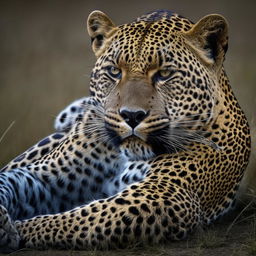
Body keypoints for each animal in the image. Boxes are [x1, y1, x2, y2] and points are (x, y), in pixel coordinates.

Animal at [0, 10, 250, 252]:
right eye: (114, 71)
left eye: (164, 74)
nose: (131, 115)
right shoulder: (48, 177)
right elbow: (10, 181)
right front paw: (5, 226)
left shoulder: (167, 195)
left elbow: (81, 218)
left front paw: (20, 230)